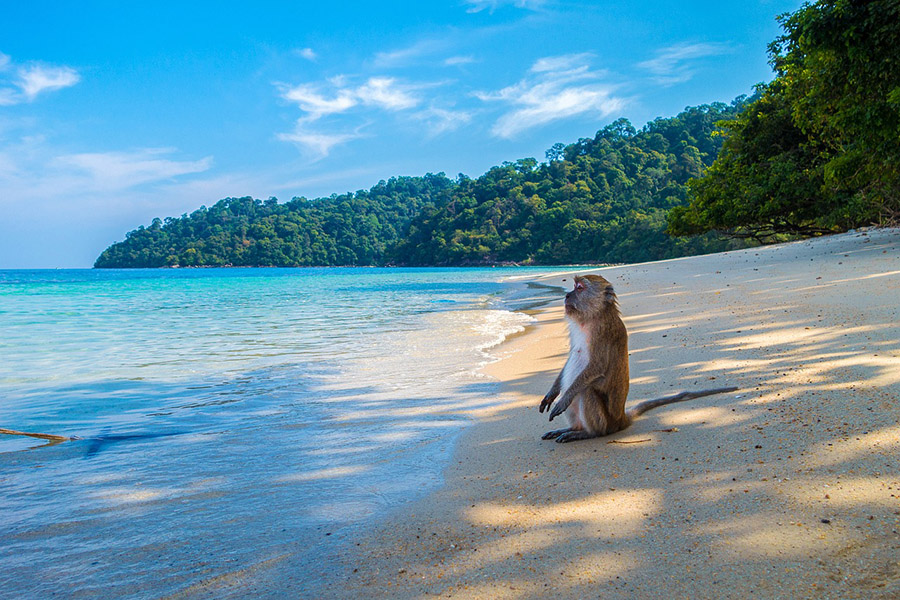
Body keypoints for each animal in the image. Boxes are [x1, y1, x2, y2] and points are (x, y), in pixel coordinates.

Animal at [538, 274, 737, 443]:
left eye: (579, 288)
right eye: (574, 287)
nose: (567, 295)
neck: (593, 316)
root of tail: (621, 419)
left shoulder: (602, 332)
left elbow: (597, 367)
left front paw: (564, 399)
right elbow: (571, 358)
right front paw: (552, 394)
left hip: (606, 422)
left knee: (586, 391)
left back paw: (587, 433)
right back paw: (571, 429)